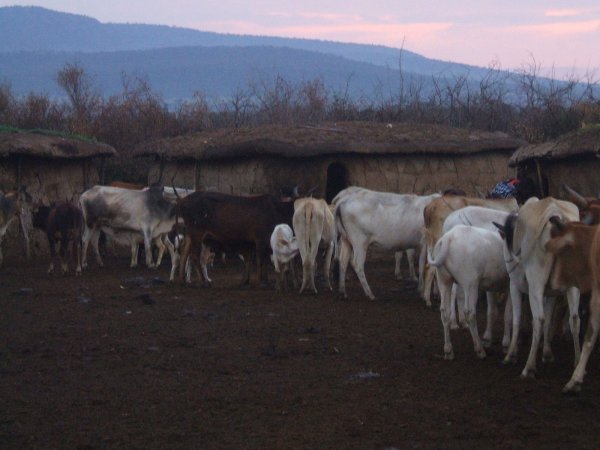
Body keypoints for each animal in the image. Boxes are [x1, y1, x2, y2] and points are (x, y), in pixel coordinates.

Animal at [428, 225, 511, 359]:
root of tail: (448, 238)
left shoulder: (491, 287)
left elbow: (492, 312)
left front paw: (488, 339)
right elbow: (508, 315)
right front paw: (506, 344)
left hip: (444, 281)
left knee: (445, 312)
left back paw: (448, 350)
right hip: (470, 284)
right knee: (469, 313)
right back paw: (479, 349)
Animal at [497, 197, 580, 379]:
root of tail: (556, 215)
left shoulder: (515, 286)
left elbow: (516, 318)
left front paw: (511, 354)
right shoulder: (551, 294)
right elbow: (549, 319)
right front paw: (547, 353)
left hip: (535, 284)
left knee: (538, 319)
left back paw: (529, 367)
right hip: (572, 287)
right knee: (574, 318)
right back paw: (577, 363)